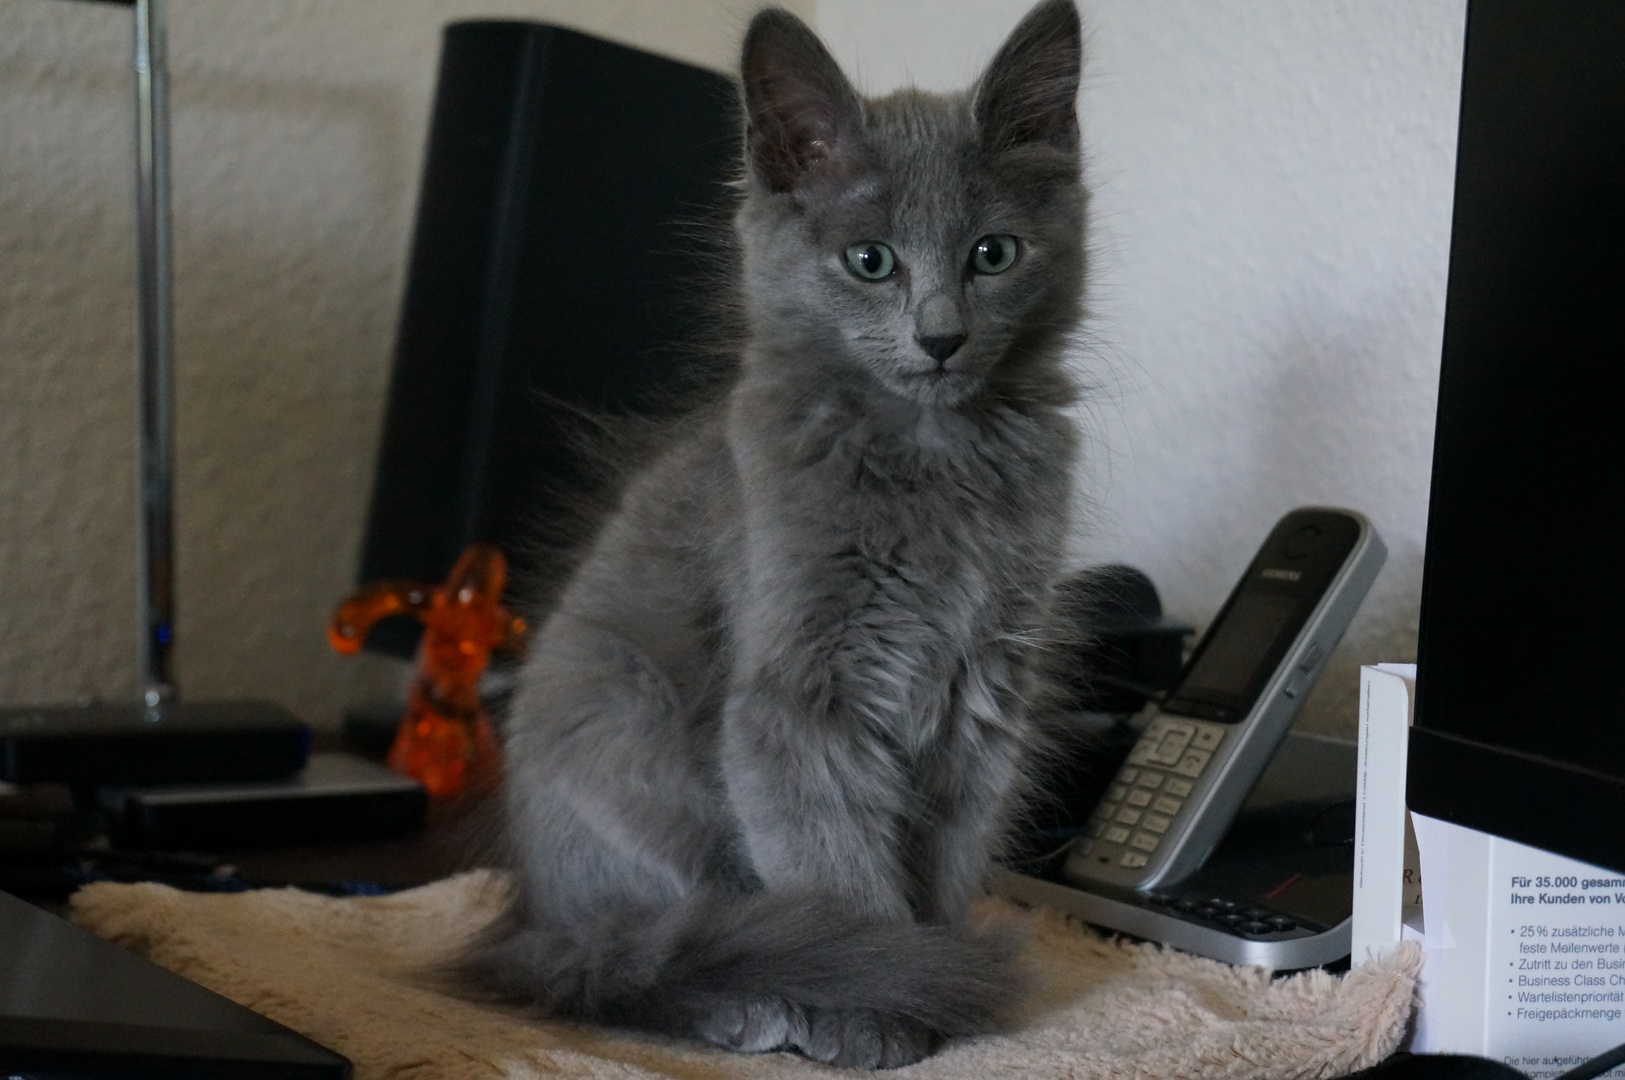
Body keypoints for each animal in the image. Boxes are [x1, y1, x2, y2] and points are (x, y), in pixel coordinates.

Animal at [464, 0, 1085, 1058]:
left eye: (993, 253)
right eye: (870, 262)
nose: (940, 336)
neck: (934, 458)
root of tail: (527, 913)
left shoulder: (982, 698)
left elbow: (946, 866)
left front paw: (937, 985)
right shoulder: (797, 704)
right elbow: (839, 879)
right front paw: (892, 1001)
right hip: (631, 743)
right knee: (648, 953)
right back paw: (763, 1003)